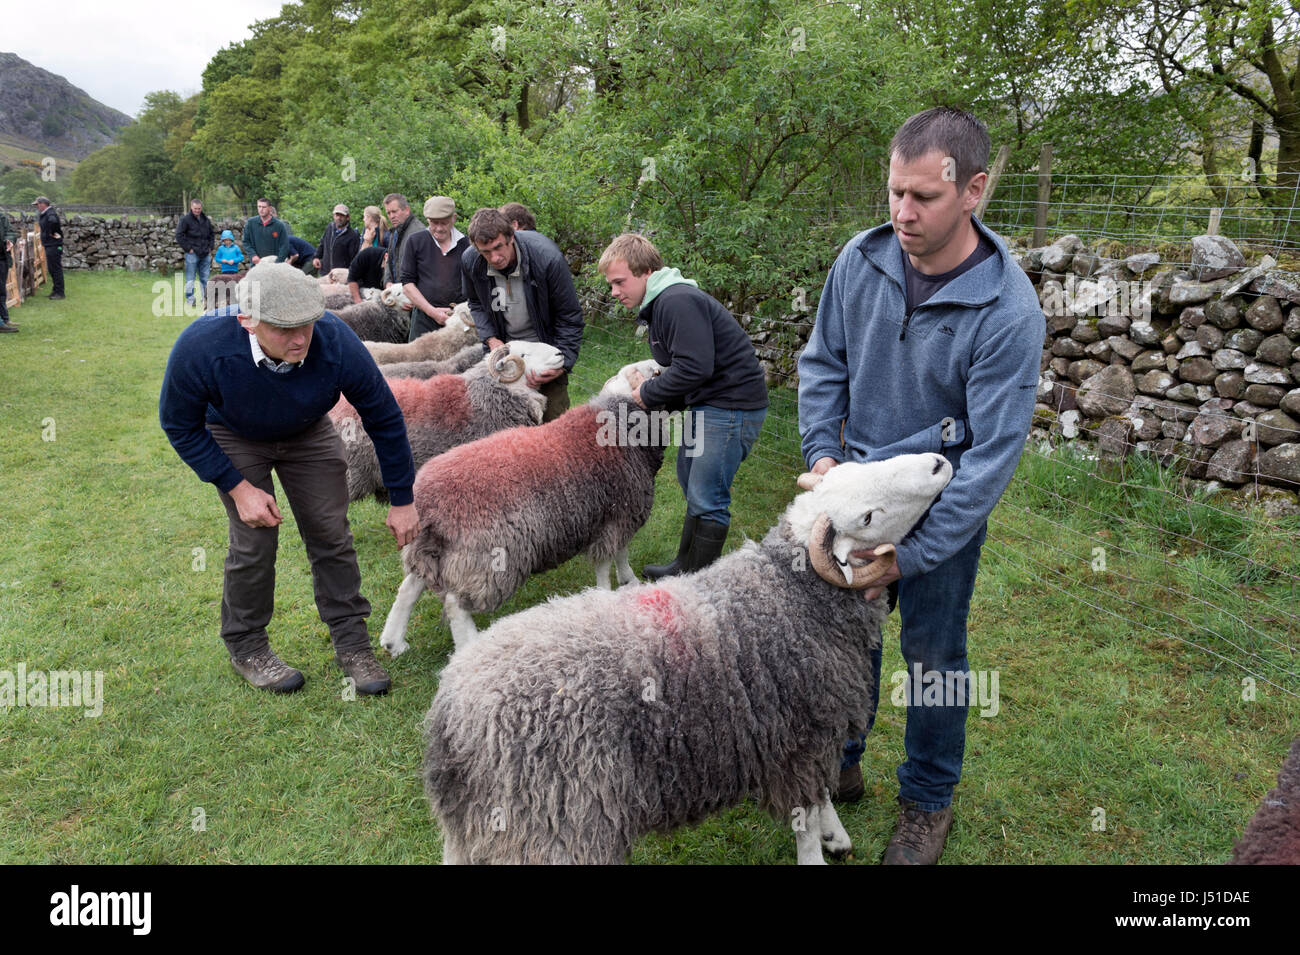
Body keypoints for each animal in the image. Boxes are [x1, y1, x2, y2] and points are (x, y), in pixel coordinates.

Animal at [426, 452, 956, 862]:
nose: (939, 462)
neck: (790, 592)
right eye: (868, 517)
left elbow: (823, 794)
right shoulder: (798, 741)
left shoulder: (814, 729)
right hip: (558, 822)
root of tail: (451, 712)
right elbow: (804, 820)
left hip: (481, 825)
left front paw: (836, 834)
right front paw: (819, 847)